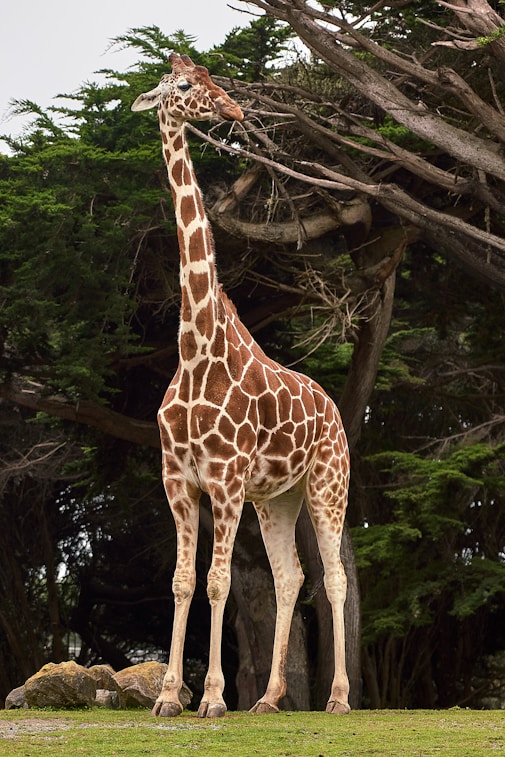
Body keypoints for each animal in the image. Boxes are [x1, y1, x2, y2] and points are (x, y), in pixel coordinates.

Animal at [131, 53, 350, 718]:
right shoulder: (179, 480)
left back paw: (337, 698)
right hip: (275, 498)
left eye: (211, 78)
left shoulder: (224, 479)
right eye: (183, 85)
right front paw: (169, 697)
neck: (195, 349)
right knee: (290, 577)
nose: (231, 109)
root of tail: (335, 411)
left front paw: (210, 699)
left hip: (328, 484)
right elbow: (183, 581)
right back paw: (271, 699)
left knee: (333, 576)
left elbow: (218, 581)